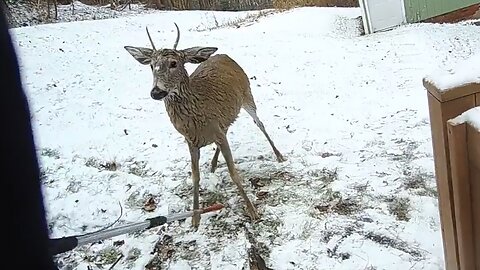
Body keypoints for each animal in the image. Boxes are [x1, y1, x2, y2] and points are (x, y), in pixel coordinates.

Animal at [124, 23, 286, 228]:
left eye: (174, 63)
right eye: (152, 66)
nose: (156, 92)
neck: (197, 113)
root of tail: (224, 56)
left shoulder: (215, 129)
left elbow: (233, 173)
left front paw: (252, 211)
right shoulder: (191, 140)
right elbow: (195, 176)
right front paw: (195, 218)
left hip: (248, 95)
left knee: (260, 123)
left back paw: (279, 155)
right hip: (228, 114)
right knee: (229, 128)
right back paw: (214, 164)